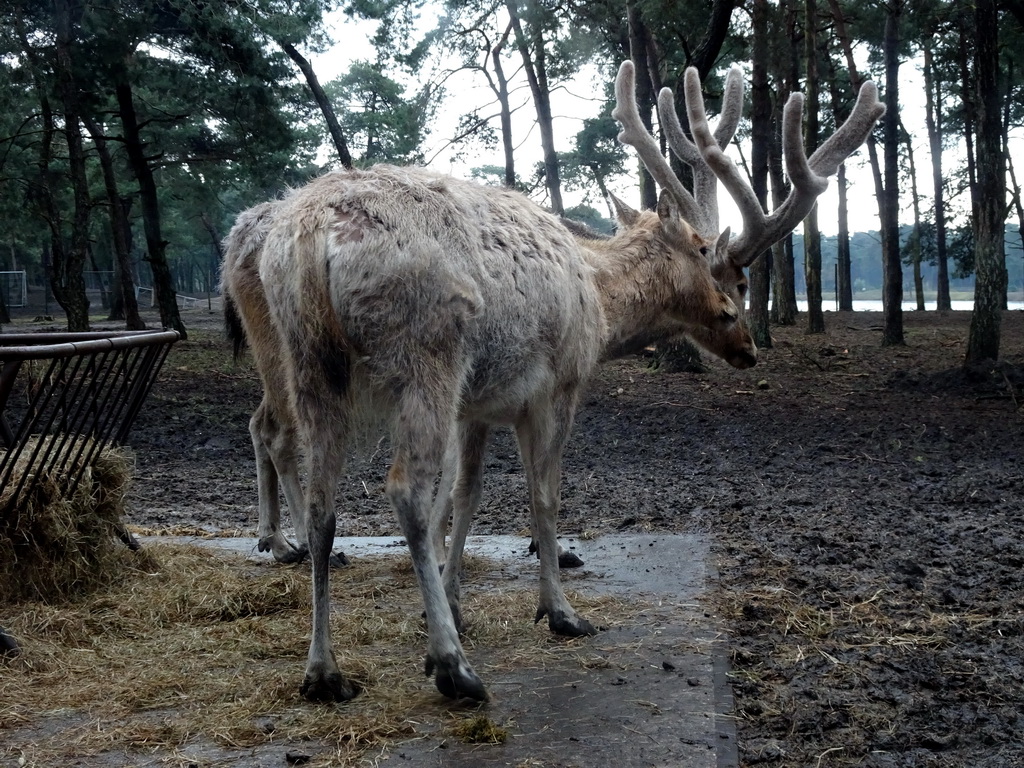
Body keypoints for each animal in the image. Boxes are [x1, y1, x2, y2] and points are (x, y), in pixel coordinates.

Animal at [228, 63, 884, 708]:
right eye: (712, 256)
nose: (745, 345)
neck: (599, 300)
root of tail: (309, 241)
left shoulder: (478, 405)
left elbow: (466, 496)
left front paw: (454, 600)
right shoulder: (554, 387)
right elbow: (543, 496)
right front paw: (558, 611)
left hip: (312, 365)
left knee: (322, 499)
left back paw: (323, 669)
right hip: (425, 353)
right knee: (403, 487)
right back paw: (453, 669)